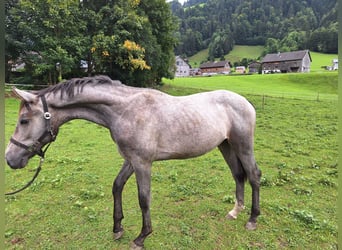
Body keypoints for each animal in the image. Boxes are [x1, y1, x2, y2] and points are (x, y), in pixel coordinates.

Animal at [5, 75, 260, 249]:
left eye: (24, 120)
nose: (10, 158)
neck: (125, 110)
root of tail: (246, 103)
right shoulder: (130, 159)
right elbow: (117, 186)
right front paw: (118, 228)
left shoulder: (142, 162)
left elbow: (143, 199)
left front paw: (141, 237)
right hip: (225, 145)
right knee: (238, 175)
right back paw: (235, 211)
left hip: (243, 146)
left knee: (254, 176)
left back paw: (252, 219)